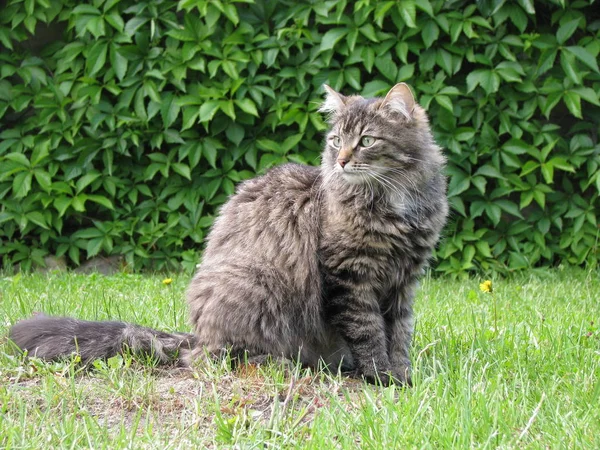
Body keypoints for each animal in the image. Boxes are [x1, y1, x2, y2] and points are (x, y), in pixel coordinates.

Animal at [9, 82, 448, 384]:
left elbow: (400, 334)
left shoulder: (404, 280)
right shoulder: (351, 278)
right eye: (336, 140)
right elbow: (369, 332)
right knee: (210, 359)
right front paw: (382, 378)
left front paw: (403, 375)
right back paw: (280, 364)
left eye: (367, 141)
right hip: (256, 284)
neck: (393, 203)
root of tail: (196, 334)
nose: (340, 161)